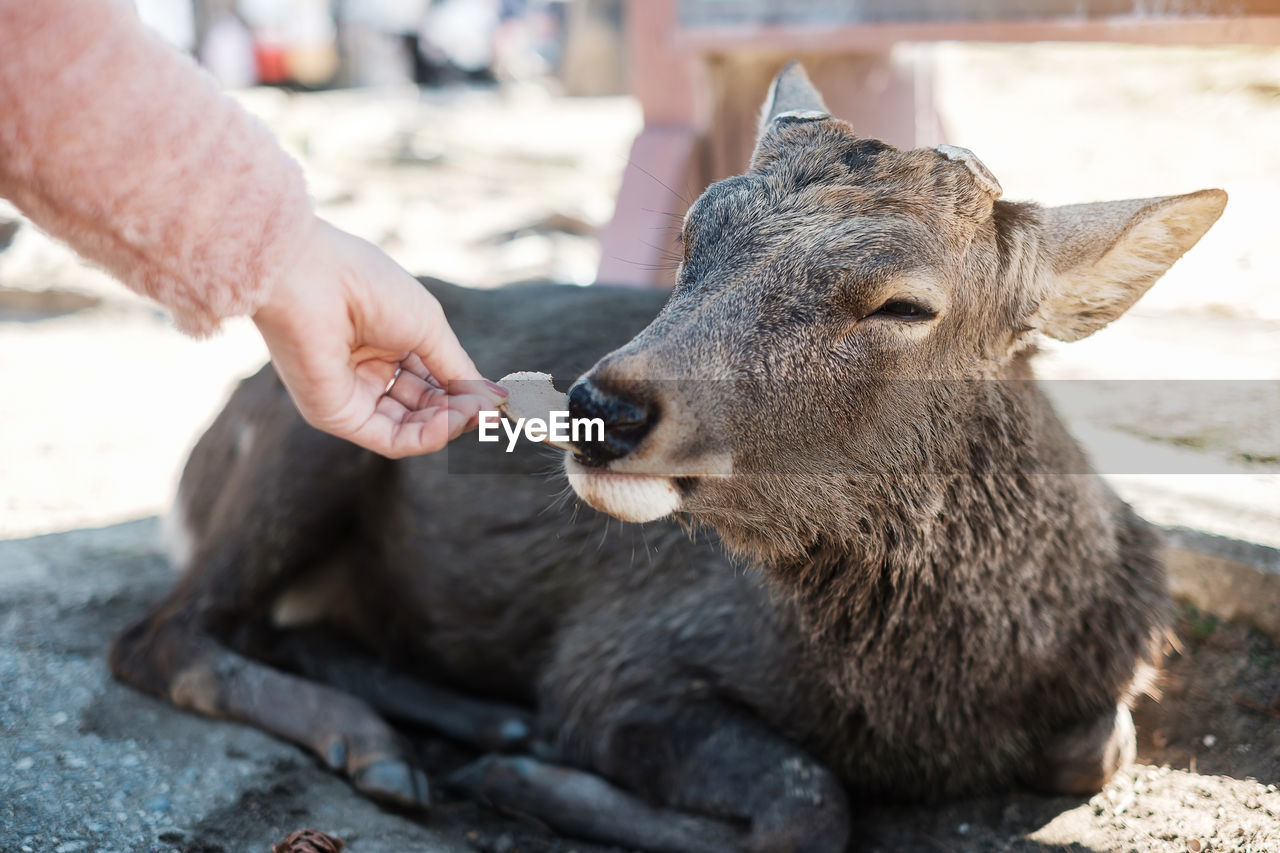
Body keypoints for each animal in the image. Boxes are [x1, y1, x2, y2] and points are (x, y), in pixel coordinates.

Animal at [107, 63, 1218, 845]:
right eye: (693, 233)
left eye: (905, 303)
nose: (600, 404)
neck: (929, 701)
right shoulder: (621, 655)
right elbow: (806, 803)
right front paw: (535, 779)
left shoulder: (1111, 690)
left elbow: (1095, 747)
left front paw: (519, 761)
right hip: (305, 433)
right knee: (161, 635)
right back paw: (392, 746)